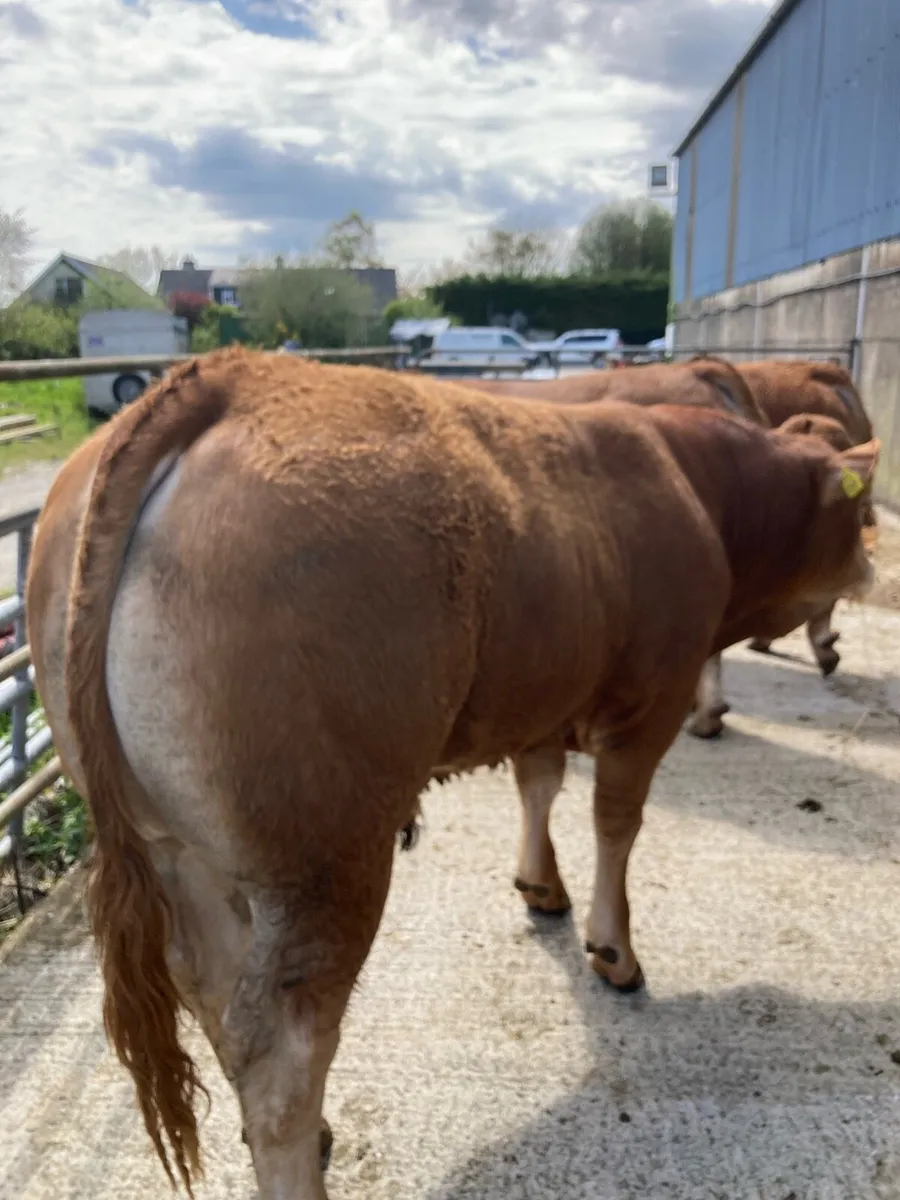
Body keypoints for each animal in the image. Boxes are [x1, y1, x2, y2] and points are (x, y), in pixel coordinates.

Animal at [27, 347, 877, 1198]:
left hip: (181, 847)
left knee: (211, 989)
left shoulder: (545, 693)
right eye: (860, 508)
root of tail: (224, 376)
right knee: (282, 1054)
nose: (872, 565)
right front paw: (614, 949)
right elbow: (617, 822)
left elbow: (539, 786)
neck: (698, 481)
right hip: (331, 855)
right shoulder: (651, 699)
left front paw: (541, 885)